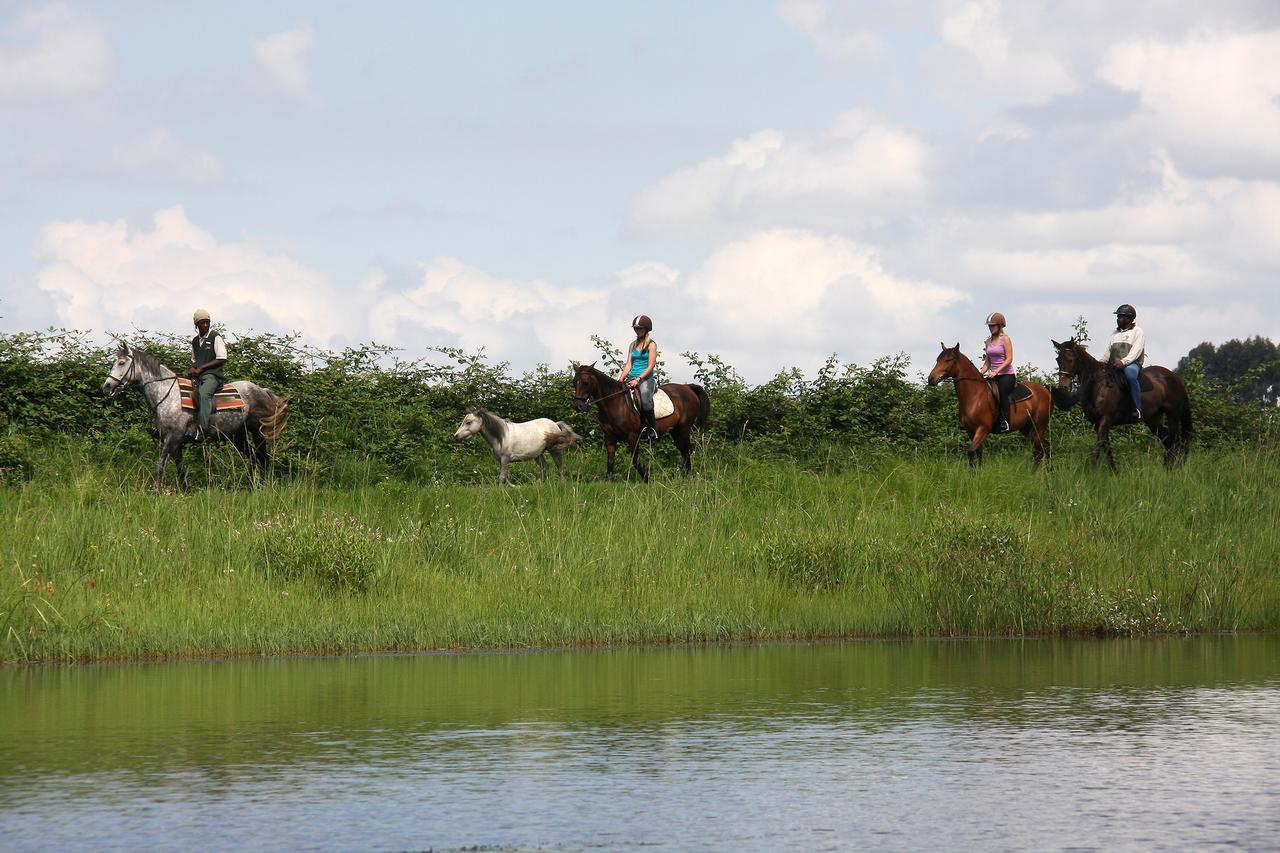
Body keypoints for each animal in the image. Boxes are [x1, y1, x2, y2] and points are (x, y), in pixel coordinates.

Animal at [101, 335, 290, 489]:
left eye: (121, 363)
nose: (107, 386)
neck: (168, 395)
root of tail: (261, 390)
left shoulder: (173, 437)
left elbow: (160, 464)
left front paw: (156, 491)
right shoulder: (176, 442)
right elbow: (180, 468)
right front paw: (185, 490)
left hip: (257, 431)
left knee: (263, 457)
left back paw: (261, 486)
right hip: (238, 436)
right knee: (254, 457)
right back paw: (250, 484)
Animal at [570, 358, 711, 479]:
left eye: (586, 383)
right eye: (574, 383)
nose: (578, 406)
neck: (614, 402)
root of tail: (688, 388)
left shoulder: (632, 436)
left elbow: (635, 460)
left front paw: (647, 478)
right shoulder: (609, 437)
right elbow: (610, 460)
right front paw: (609, 481)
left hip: (683, 429)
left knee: (687, 451)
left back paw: (681, 475)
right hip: (675, 431)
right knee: (685, 452)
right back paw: (681, 475)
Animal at [926, 340, 1054, 466]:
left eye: (949, 360)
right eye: (937, 360)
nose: (931, 379)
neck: (975, 396)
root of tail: (1046, 391)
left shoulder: (983, 429)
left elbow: (971, 452)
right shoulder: (970, 430)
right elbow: (978, 454)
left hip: (1038, 427)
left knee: (1039, 452)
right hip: (1027, 429)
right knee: (1045, 448)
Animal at [1049, 338, 1187, 471]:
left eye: (1070, 359)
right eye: (1058, 359)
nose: (1063, 387)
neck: (1099, 385)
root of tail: (1177, 378)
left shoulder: (1105, 419)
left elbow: (1097, 448)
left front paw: (1090, 472)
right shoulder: (1098, 423)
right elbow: (1106, 448)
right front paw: (1114, 472)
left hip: (1173, 415)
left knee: (1174, 440)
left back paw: (1174, 467)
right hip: (1152, 419)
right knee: (1166, 439)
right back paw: (1167, 468)